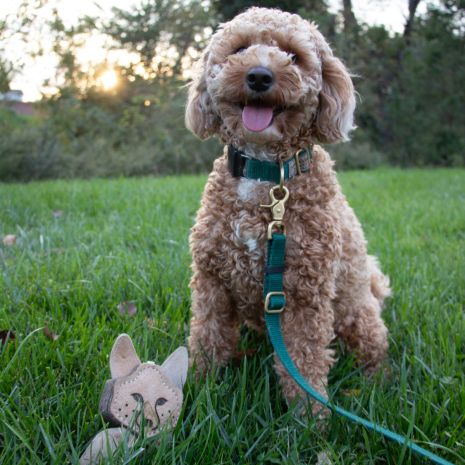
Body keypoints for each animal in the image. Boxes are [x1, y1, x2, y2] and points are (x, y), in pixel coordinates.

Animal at [183, 7, 390, 414]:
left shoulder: (304, 297)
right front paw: (197, 392)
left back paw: (378, 383)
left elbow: (304, 363)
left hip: (355, 313)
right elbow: (208, 340)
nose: (259, 76)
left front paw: (310, 420)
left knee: (376, 347)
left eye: (294, 56)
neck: (266, 173)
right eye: (240, 48)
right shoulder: (212, 284)